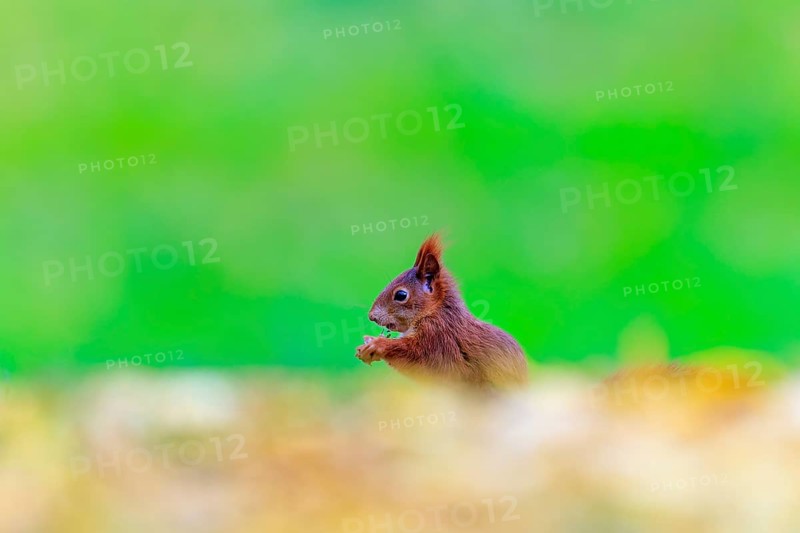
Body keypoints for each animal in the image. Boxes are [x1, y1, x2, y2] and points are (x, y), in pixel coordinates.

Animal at [355, 234, 529, 389]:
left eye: (401, 295)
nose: (371, 316)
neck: (434, 312)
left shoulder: (438, 339)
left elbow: (417, 357)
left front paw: (377, 344)